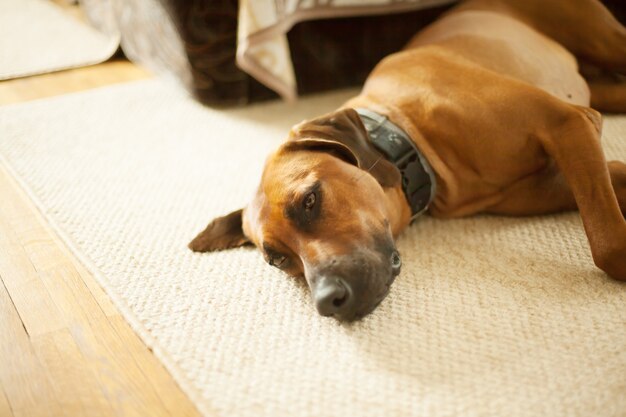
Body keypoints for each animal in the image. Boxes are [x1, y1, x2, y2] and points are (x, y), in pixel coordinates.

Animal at [189, 0, 624, 320]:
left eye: (310, 201)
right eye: (277, 259)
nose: (328, 301)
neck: (407, 137)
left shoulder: (567, 124)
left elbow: (609, 247)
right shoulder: (572, 170)